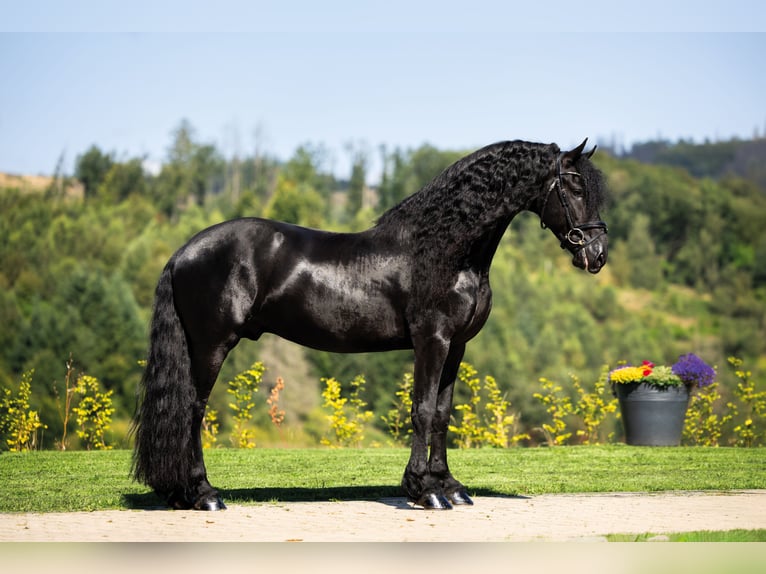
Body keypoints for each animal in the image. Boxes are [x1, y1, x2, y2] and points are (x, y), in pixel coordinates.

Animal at [132, 138, 609, 511]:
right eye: (573, 185)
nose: (597, 255)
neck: (445, 249)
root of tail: (184, 252)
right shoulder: (431, 340)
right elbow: (422, 410)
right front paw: (423, 490)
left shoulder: (456, 345)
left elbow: (442, 414)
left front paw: (450, 486)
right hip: (211, 344)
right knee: (193, 409)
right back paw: (203, 493)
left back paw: (180, 493)